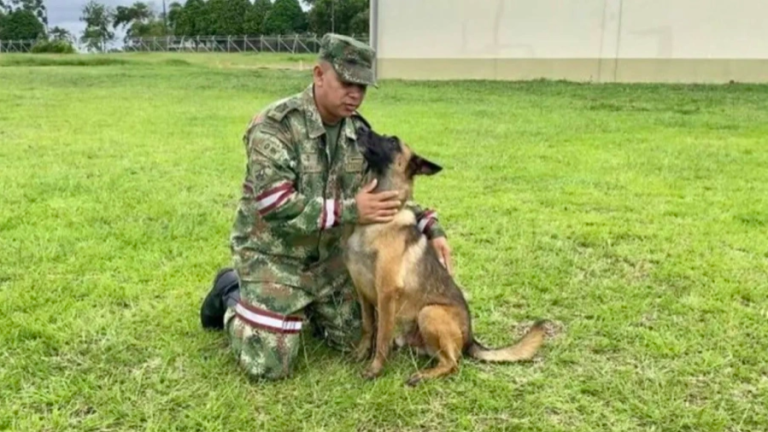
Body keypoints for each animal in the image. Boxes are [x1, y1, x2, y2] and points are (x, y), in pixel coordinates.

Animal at [342, 126, 544, 386]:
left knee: (452, 363)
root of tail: (471, 338)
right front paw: (359, 354)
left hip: (430, 312)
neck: (375, 222)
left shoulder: (386, 293)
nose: (359, 128)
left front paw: (375, 369)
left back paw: (422, 376)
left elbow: (382, 336)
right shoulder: (363, 292)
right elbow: (369, 327)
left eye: (393, 141)